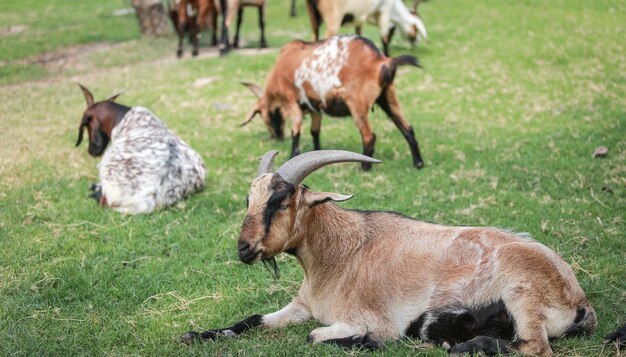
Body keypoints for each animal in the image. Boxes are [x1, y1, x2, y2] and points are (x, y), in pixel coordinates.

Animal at [239, 34, 424, 170]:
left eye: (265, 117)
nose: (276, 136)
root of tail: (381, 60)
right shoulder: (314, 106)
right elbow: (315, 130)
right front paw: (316, 153)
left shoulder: (292, 101)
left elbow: (296, 130)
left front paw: (292, 155)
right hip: (388, 96)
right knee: (408, 128)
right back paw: (418, 163)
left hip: (357, 103)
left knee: (369, 135)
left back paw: (364, 168)